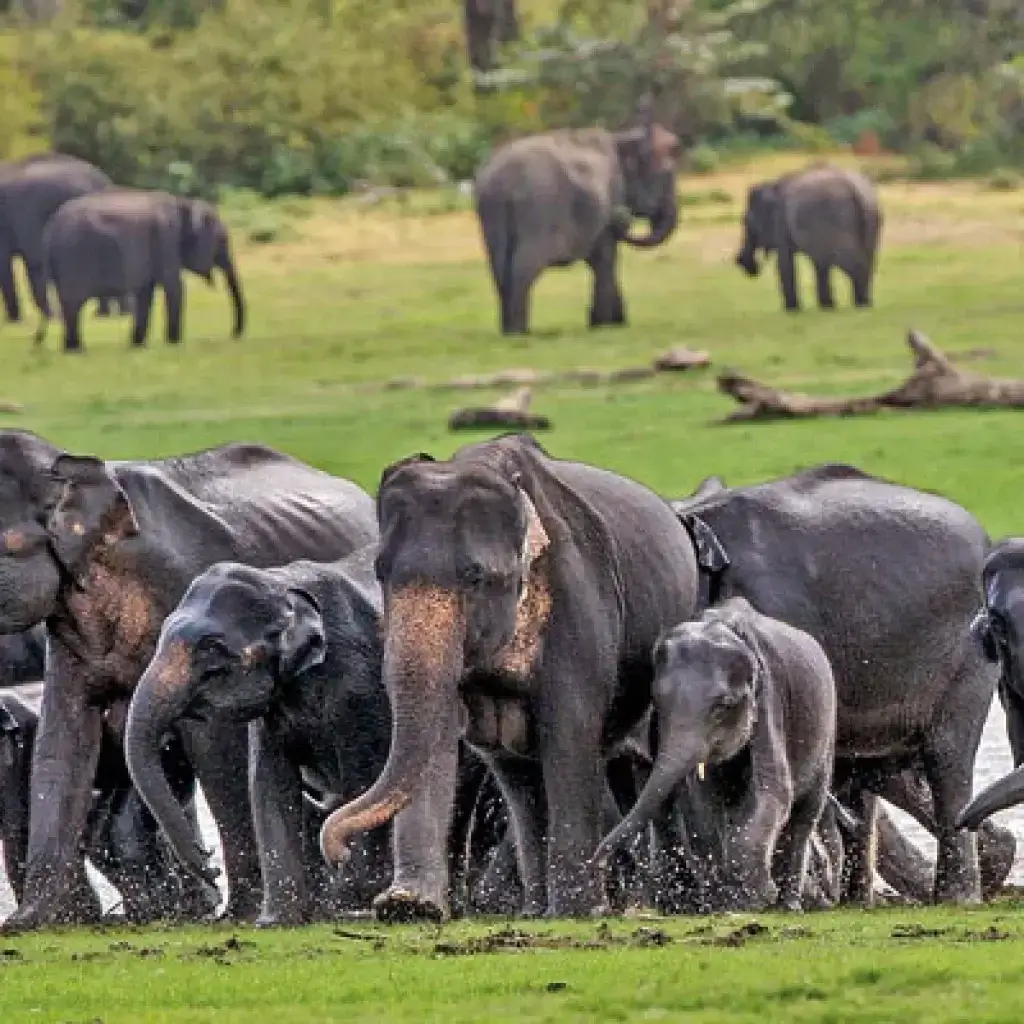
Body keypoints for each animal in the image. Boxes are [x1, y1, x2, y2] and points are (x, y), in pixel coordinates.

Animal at [38, 189, 245, 351]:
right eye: (221, 242)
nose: (233, 335)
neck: (184, 203)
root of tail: (49, 231)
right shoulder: (166, 239)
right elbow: (174, 287)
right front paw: (174, 344)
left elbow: (145, 293)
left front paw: (137, 346)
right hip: (72, 258)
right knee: (73, 304)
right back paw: (77, 350)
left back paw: (71, 349)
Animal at [318, 432, 700, 920]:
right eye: (380, 572)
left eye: (475, 575)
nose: (337, 850)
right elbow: (441, 737)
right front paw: (409, 906)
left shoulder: (578, 607)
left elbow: (569, 735)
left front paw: (579, 911)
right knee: (520, 779)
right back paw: (536, 910)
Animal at [473, 107, 680, 334]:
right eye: (665, 175)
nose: (620, 216)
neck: (621, 137)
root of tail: (503, 180)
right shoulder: (611, 195)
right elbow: (605, 257)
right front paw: (604, 325)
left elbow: (597, 259)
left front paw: (611, 322)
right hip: (538, 210)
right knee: (524, 264)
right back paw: (519, 332)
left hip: (491, 211)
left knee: (498, 267)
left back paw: (509, 329)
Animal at [595, 598, 837, 912]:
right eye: (657, 703)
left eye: (724, 706)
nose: (595, 862)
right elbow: (703, 804)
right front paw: (723, 899)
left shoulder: (770, 696)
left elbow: (773, 788)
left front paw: (754, 896)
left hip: (826, 735)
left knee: (805, 814)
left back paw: (789, 905)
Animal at [735, 163, 882, 312]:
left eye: (745, 221)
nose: (740, 261)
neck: (771, 185)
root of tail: (857, 190)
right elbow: (820, 262)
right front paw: (827, 307)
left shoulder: (782, 222)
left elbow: (784, 262)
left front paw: (792, 310)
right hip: (871, 219)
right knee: (869, 260)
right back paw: (865, 302)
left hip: (838, 219)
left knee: (853, 262)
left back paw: (862, 304)